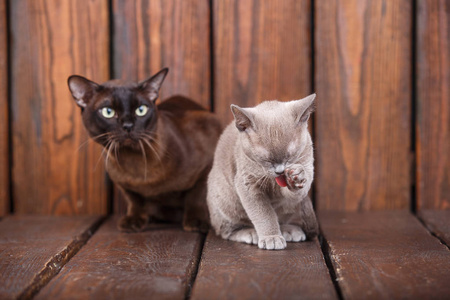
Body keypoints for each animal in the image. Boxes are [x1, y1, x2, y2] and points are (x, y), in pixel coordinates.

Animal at [67, 68, 222, 232]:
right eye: (108, 112)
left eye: (141, 110)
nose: (128, 126)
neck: (135, 165)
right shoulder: (123, 183)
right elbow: (135, 201)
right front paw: (133, 221)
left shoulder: (207, 165)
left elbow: (196, 196)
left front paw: (196, 222)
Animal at [206, 95, 318, 250]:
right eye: (266, 159)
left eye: (289, 156)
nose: (280, 171)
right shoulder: (247, 184)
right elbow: (264, 214)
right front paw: (272, 237)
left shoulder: (307, 164)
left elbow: (297, 190)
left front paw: (297, 177)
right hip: (225, 199)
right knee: (227, 230)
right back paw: (251, 233)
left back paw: (288, 230)